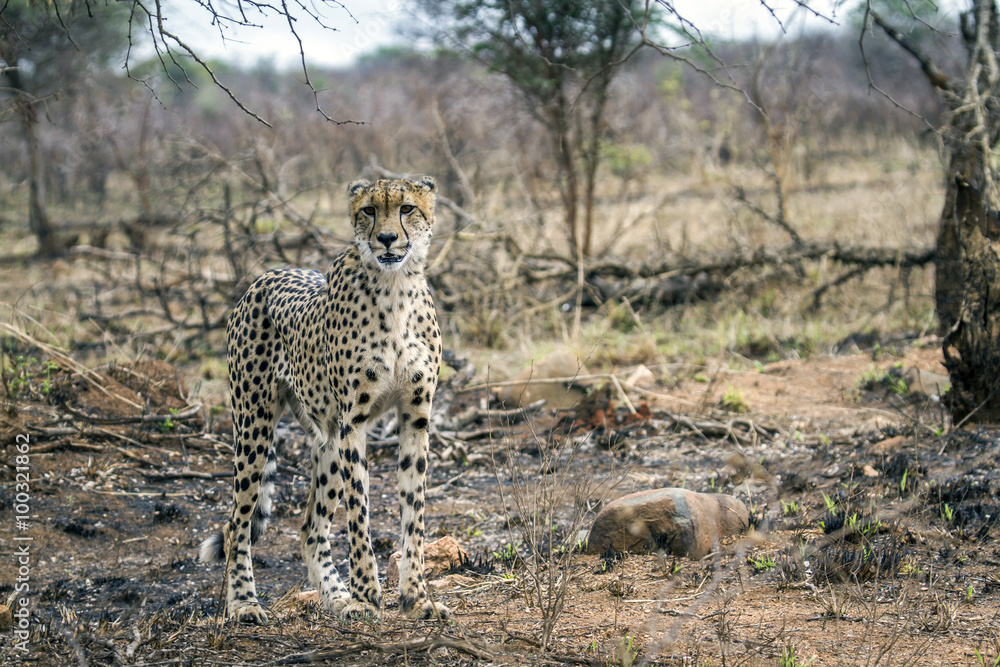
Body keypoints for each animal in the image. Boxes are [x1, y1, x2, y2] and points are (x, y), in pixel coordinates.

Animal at [199, 175, 449, 624]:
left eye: (406, 208)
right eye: (369, 210)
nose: (387, 238)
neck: (396, 287)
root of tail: (268, 274)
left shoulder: (415, 418)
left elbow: (414, 514)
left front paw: (416, 598)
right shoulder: (355, 423)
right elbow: (359, 514)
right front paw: (367, 595)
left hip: (327, 441)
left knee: (310, 528)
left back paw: (337, 598)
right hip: (254, 425)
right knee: (236, 525)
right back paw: (244, 603)